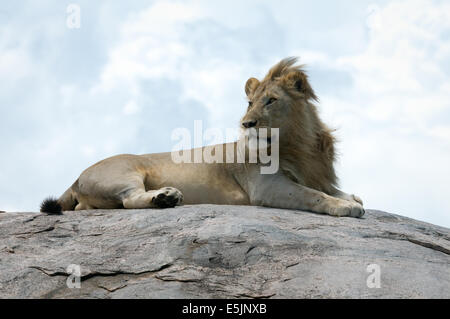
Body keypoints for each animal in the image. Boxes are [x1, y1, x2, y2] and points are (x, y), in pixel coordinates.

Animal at [40, 57, 366, 219]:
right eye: (250, 103)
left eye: (271, 101)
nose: (246, 124)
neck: (299, 144)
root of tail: (76, 178)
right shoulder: (265, 186)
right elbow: (311, 195)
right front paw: (345, 207)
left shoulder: (316, 175)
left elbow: (330, 189)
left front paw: (349, 198)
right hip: (122, 173)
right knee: (130, 200)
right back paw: (166, 198)